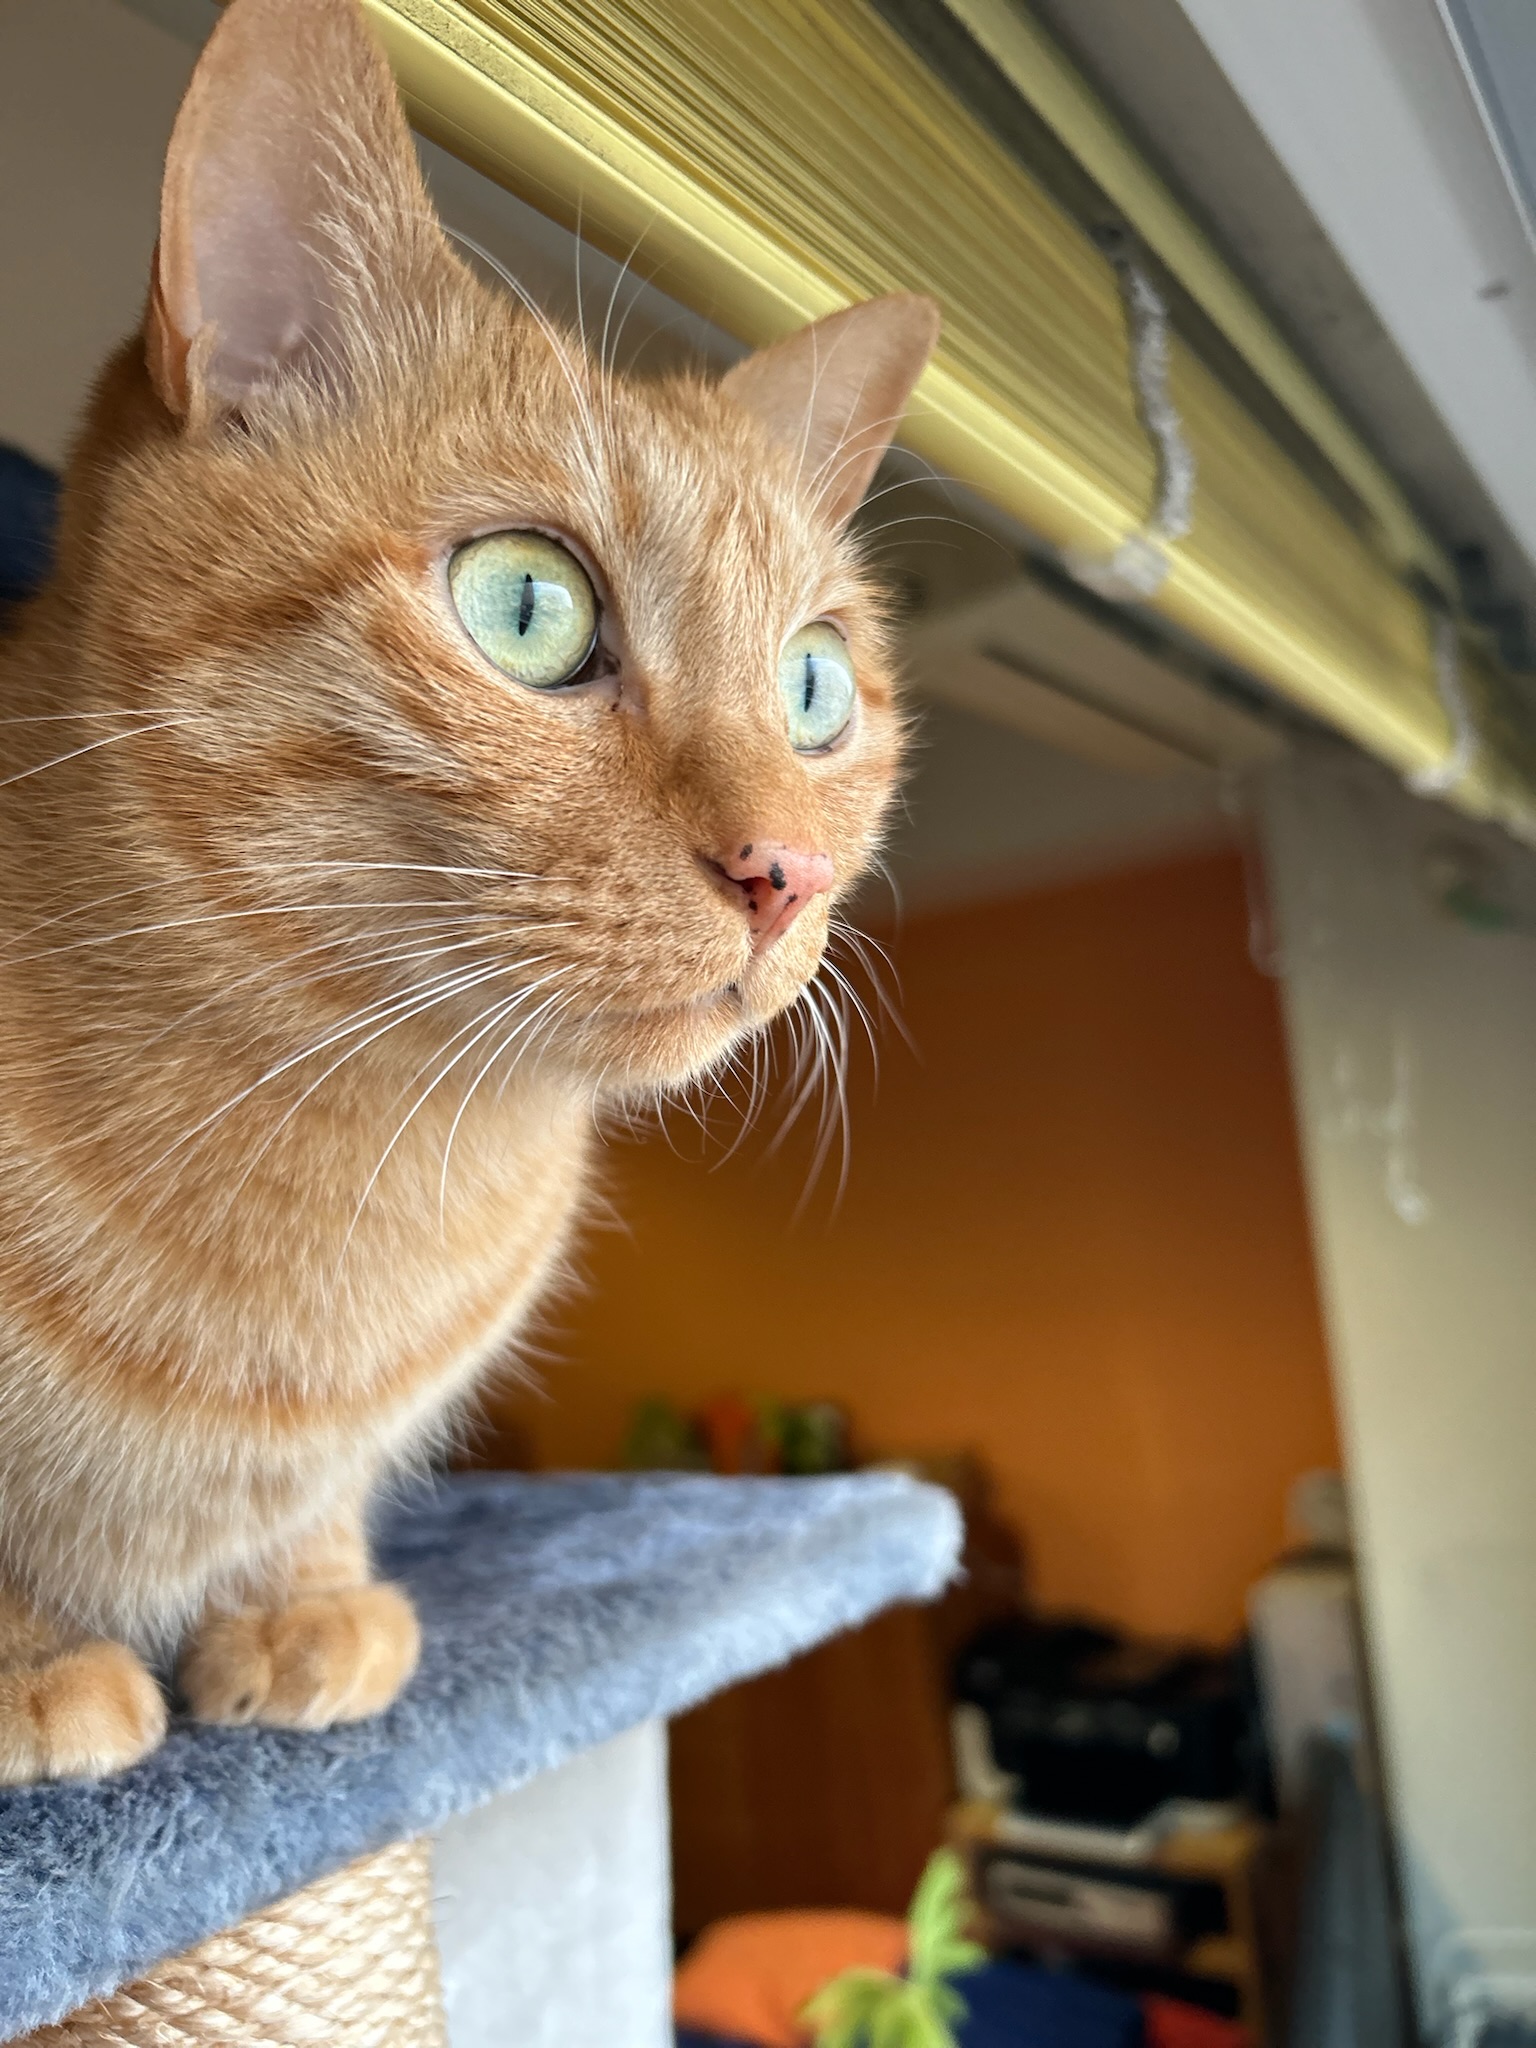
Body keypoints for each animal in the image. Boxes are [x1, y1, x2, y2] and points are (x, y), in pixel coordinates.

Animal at [0, 0, 936, 1786]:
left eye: (811, 687)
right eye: (526, 605)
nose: (783, 875)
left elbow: (305, 1519)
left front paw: (301, 1604)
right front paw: (31, 1660)